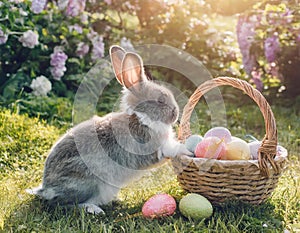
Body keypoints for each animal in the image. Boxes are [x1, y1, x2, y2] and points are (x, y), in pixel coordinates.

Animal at [27, 45, 192, 215]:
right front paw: (186, 150)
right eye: (160, 101)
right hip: (87, 182)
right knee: (62, 204)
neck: (142, 117)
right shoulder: (150, 149)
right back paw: (93, 209)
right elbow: (169, 150)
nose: (175, 113)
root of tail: (46, 189)